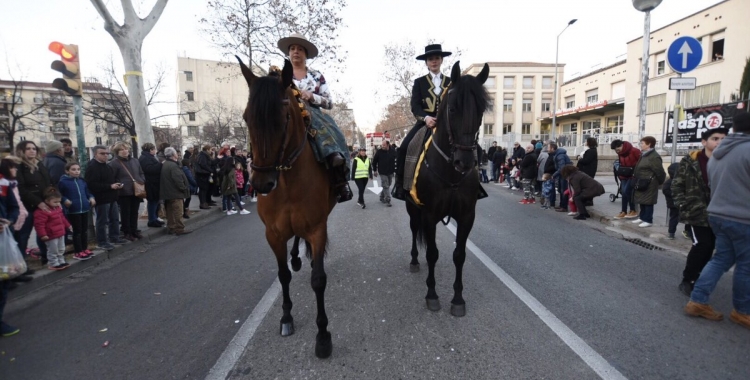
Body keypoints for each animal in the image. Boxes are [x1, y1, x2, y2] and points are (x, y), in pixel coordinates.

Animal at [239, 58, 336, 358]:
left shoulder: (317, 228)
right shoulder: (273, 233)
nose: (261, 183)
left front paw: (323, 335)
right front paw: (286, 317)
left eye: (282, 118)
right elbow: (282, 275)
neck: (288, 181)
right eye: (246, 117)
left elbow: (319, 279)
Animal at [408, 61, 490, 318]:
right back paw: (414, 261)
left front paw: (457, 299)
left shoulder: (466, 216)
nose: (464, 162)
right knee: (414, 230)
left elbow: (459, 255)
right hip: (412, 208)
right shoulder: (429, 214)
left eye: (481, 110)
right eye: (452, 109)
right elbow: (432, 253)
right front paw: (432, 295)